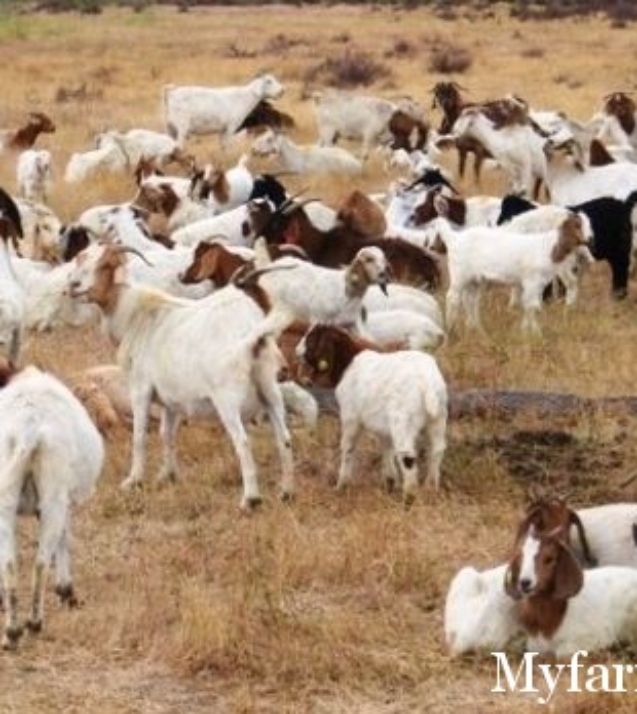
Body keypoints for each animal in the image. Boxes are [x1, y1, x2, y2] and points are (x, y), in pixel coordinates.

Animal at [0, 364, 104, 649]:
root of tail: (28, 428)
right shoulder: (64, 502)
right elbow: (64, 539)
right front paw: (66, 591)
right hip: (54, 498)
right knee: (40, 562)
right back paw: (34, 624)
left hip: (6, 501)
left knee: (9, 563)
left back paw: (11, 633)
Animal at [67, 243, 294, 509]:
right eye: (81, 259)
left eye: (105, 265)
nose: (74, 285)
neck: (140, 317)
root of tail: (253, 333)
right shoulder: (169, 398)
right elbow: (167, 435)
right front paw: (168, 475)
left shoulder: (141, 388)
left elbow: (139, 436)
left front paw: (133, 481)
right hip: (270, 390)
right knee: (284, 438)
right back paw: (286, 493)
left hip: (227, 400)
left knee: (243, 442)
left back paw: (250, 500)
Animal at [297, 324, 447, 503]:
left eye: (311, 338)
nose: (297, 351)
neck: (348, 364)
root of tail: (428, 381)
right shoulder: (384, 426)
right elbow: (387, 448)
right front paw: (390, 483)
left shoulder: (350, 416)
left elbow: (347, 447)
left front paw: (341, 486)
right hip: (438, 419)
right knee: (437, 450)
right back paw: (431, 488)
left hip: (403, 421)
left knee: (407, 456)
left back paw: (409, 497)